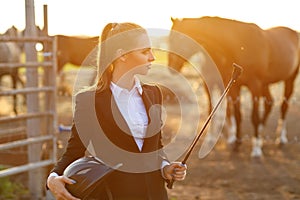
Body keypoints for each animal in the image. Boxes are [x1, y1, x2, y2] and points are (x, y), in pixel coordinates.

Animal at [168, 16, 298, 158]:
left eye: (179, 38)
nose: (171, 67)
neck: (241, 45)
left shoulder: (254, 86)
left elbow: (253, 116)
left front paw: (255, 149)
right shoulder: (233, 86)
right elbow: (237, 113)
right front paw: (237, 143)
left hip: (289, 79)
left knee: (284, 106)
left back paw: (281, 139)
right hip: (265, 84)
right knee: (269, 103)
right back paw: (260, 134)